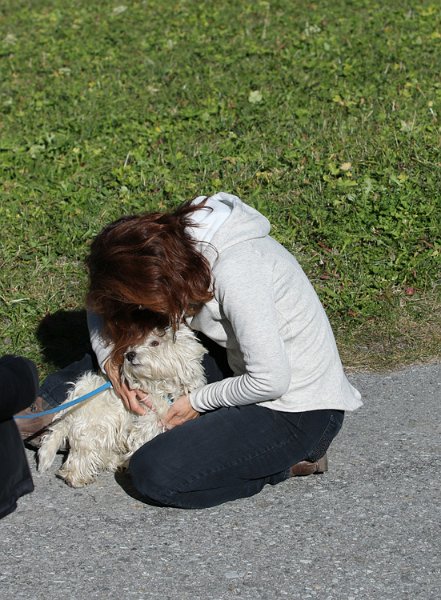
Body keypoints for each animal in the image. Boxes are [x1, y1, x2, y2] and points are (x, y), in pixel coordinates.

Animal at [37, 324, 206, 488]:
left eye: (155, 343)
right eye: (132, 344)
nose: (129, 355)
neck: (161, 387)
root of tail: (72, 400)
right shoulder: (146, 424)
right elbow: (141, 442)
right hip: (98, 425)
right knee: (82, 453)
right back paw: (77, 478)